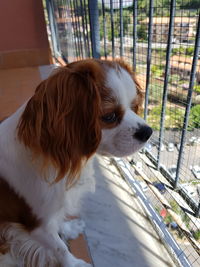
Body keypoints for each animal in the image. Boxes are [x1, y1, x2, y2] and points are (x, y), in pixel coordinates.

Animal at [0, 59, 152, 266]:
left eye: (134, 105)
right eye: (109, 117)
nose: (148, 131)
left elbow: (58, 224)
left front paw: (68, 229)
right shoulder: (36, 224)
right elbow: (59, 249)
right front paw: (74, 264)